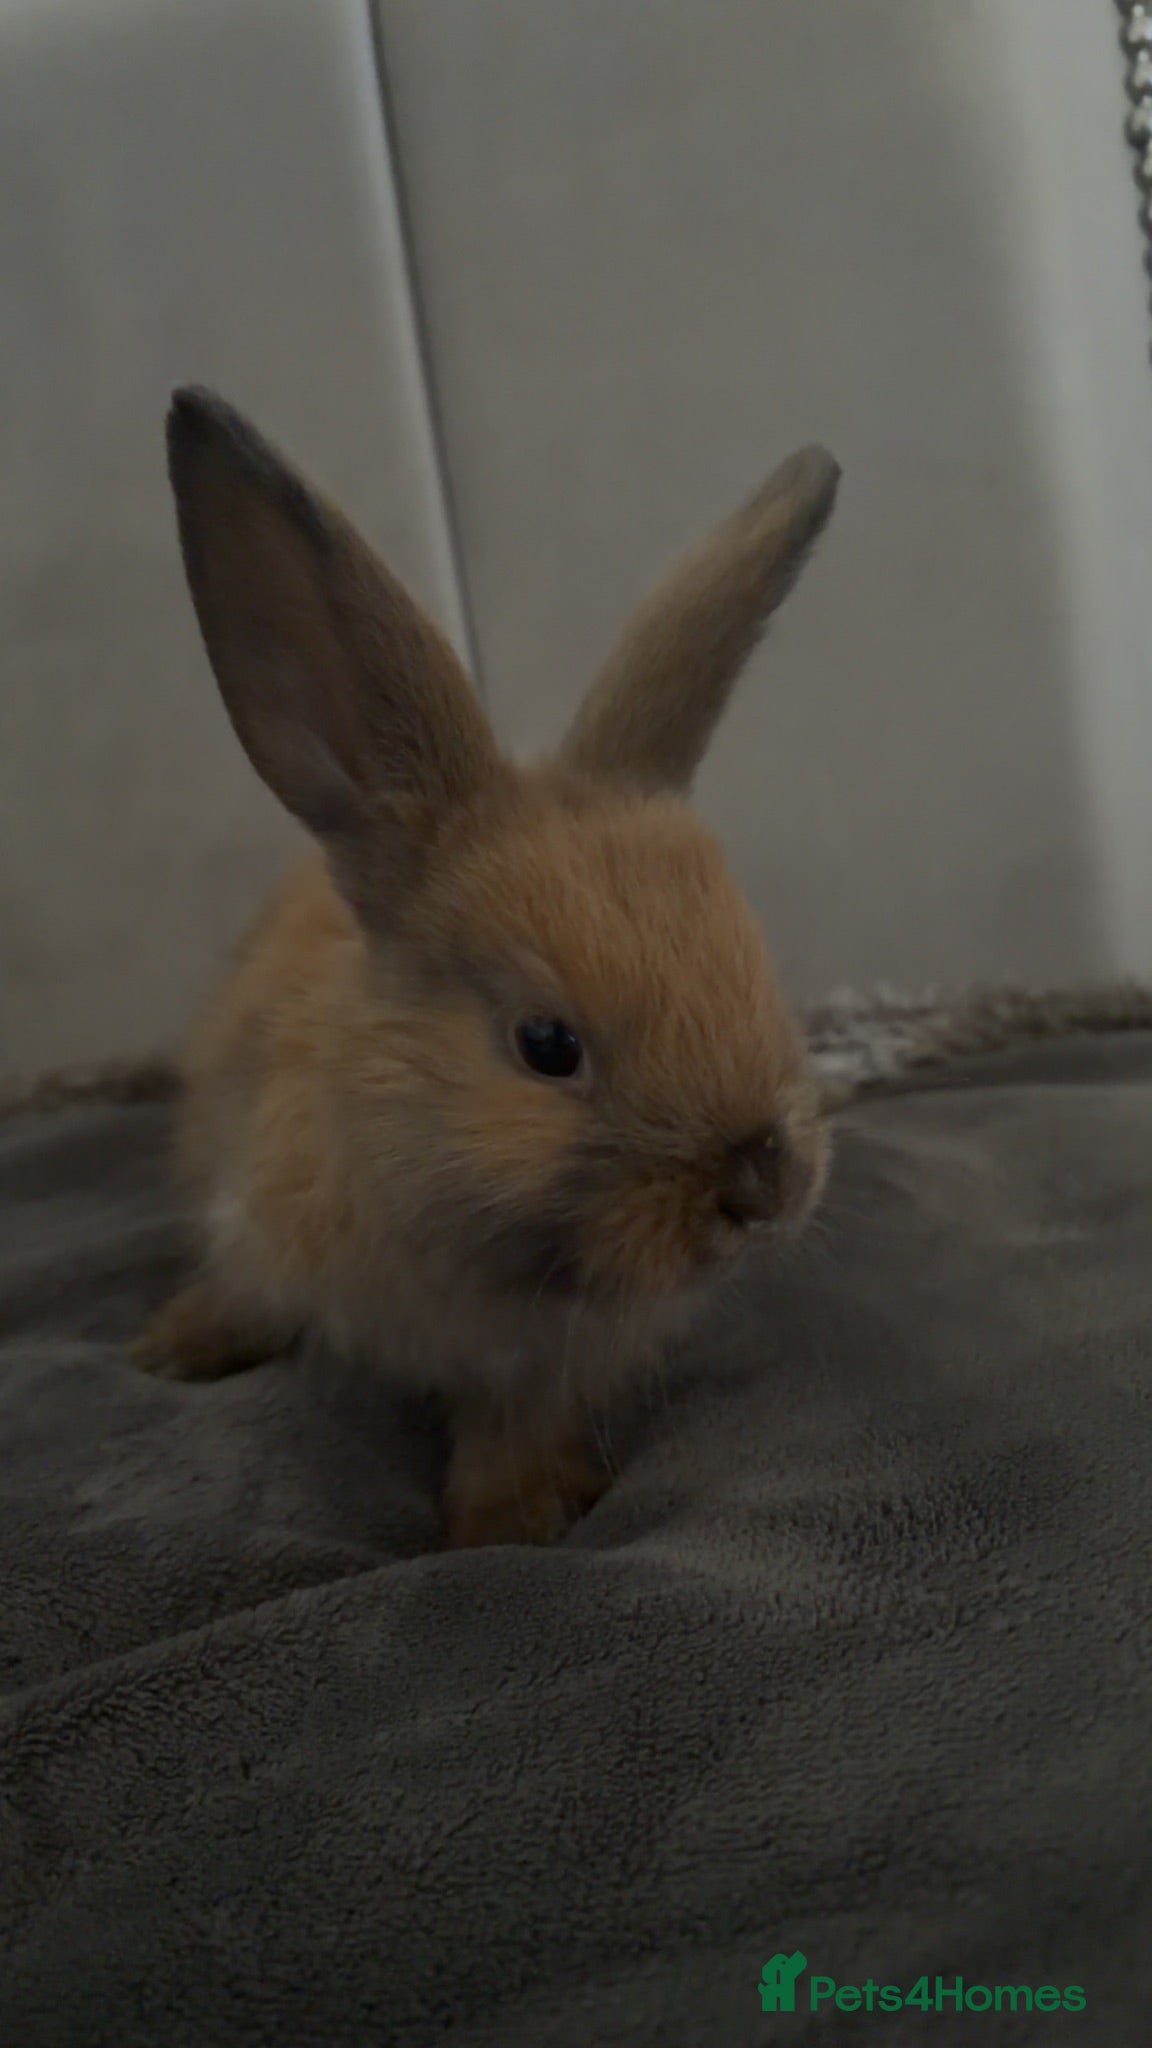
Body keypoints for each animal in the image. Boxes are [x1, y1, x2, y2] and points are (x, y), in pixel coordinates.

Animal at [134, 387, 841, 1549]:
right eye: (546, 1045)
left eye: (757, 966)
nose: (764, 1184)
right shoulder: (256, 1221)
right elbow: (244, 1287)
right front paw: (175, 1348)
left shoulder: (539, 1371)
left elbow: (514, 1423)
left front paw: (514, 1516)